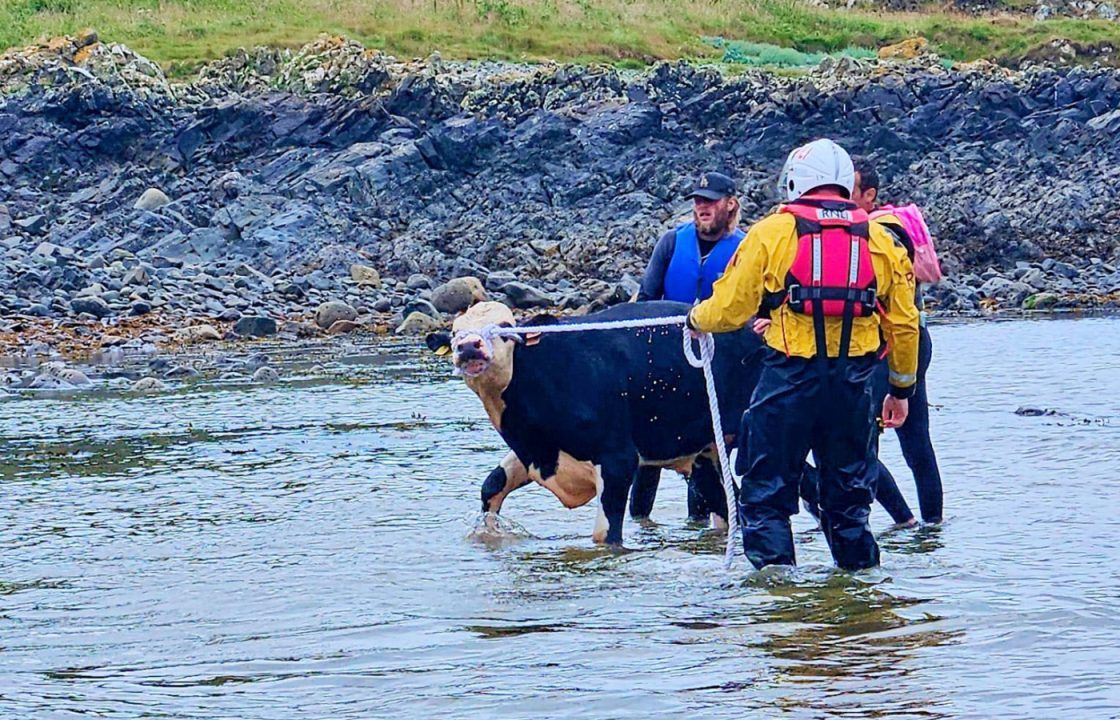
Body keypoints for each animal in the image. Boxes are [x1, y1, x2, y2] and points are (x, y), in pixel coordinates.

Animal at [423, 300, 766, 546]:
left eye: (506, 328)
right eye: (454, 333)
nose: (469, 346)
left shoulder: (617, 459)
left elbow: (605, 535)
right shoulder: (537, 452)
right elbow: (492, 485)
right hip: (705, 451)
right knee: (727, 502)